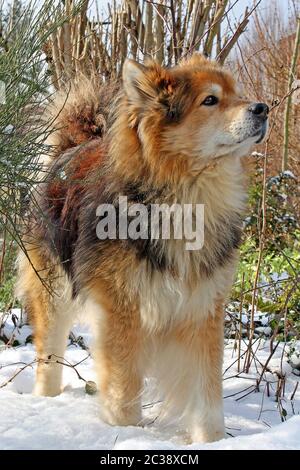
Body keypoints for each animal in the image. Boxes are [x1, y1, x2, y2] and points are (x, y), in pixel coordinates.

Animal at [17, 53, 268, 442]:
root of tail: (68, 148)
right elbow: (123, 389)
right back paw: (47, 399)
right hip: (54, 291)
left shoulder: (203, 308)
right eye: (210, 100)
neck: (184, 196)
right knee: (49, 352)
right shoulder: (123, 310)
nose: (263, 108)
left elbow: (207, 393)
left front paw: (211, 440)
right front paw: (124, 432)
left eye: (236, 93)